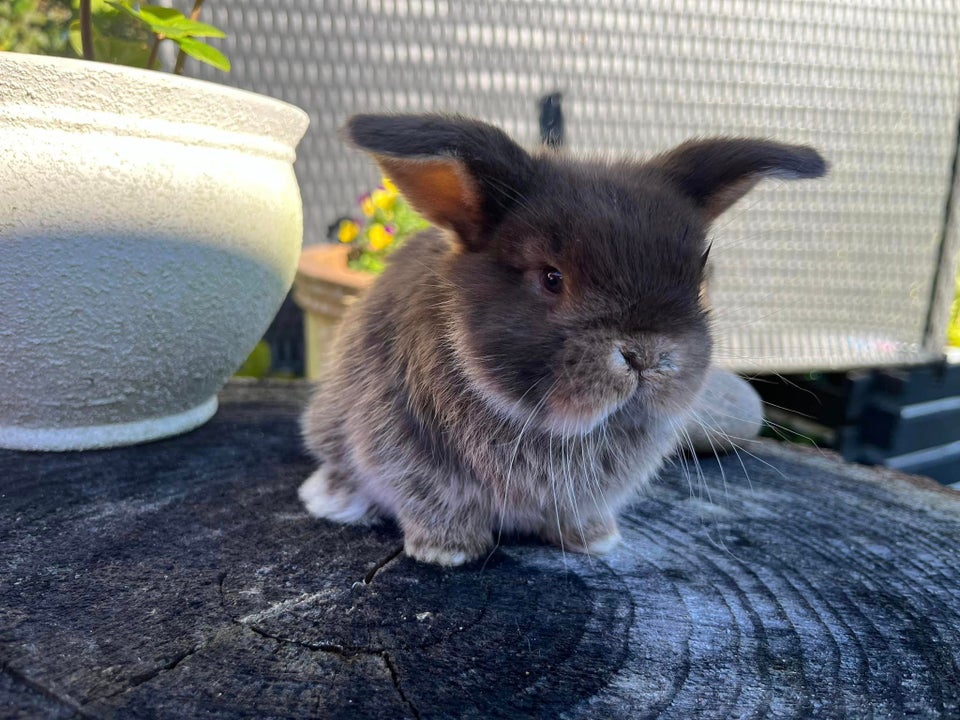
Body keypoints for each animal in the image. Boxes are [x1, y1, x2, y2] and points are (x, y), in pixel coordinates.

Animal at [300, 112, 824, 564]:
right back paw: (330, 500)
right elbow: (435, 505)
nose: (645, 355)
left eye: (697, 283)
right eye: (552, 278)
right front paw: (448, 552)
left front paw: (596, 540)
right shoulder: (409, 460)